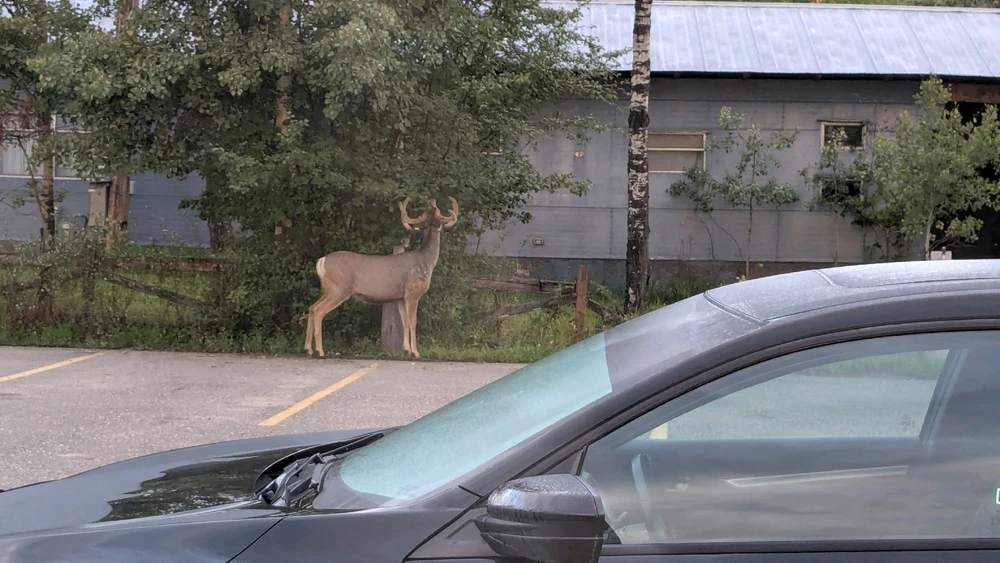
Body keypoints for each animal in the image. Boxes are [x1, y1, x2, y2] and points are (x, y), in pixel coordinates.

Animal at [304, 196, 459, 359]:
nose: (432, 204)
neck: (425, 261)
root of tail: (322, 261)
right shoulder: (412, 293)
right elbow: (412, 322)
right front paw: (416, 352)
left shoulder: (401, 297)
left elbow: (404, 322)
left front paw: (406, 350)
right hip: (339, 289)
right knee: (319, 310)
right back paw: (320, 351)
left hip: (329, 289)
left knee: (312, 307)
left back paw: (308, 349)